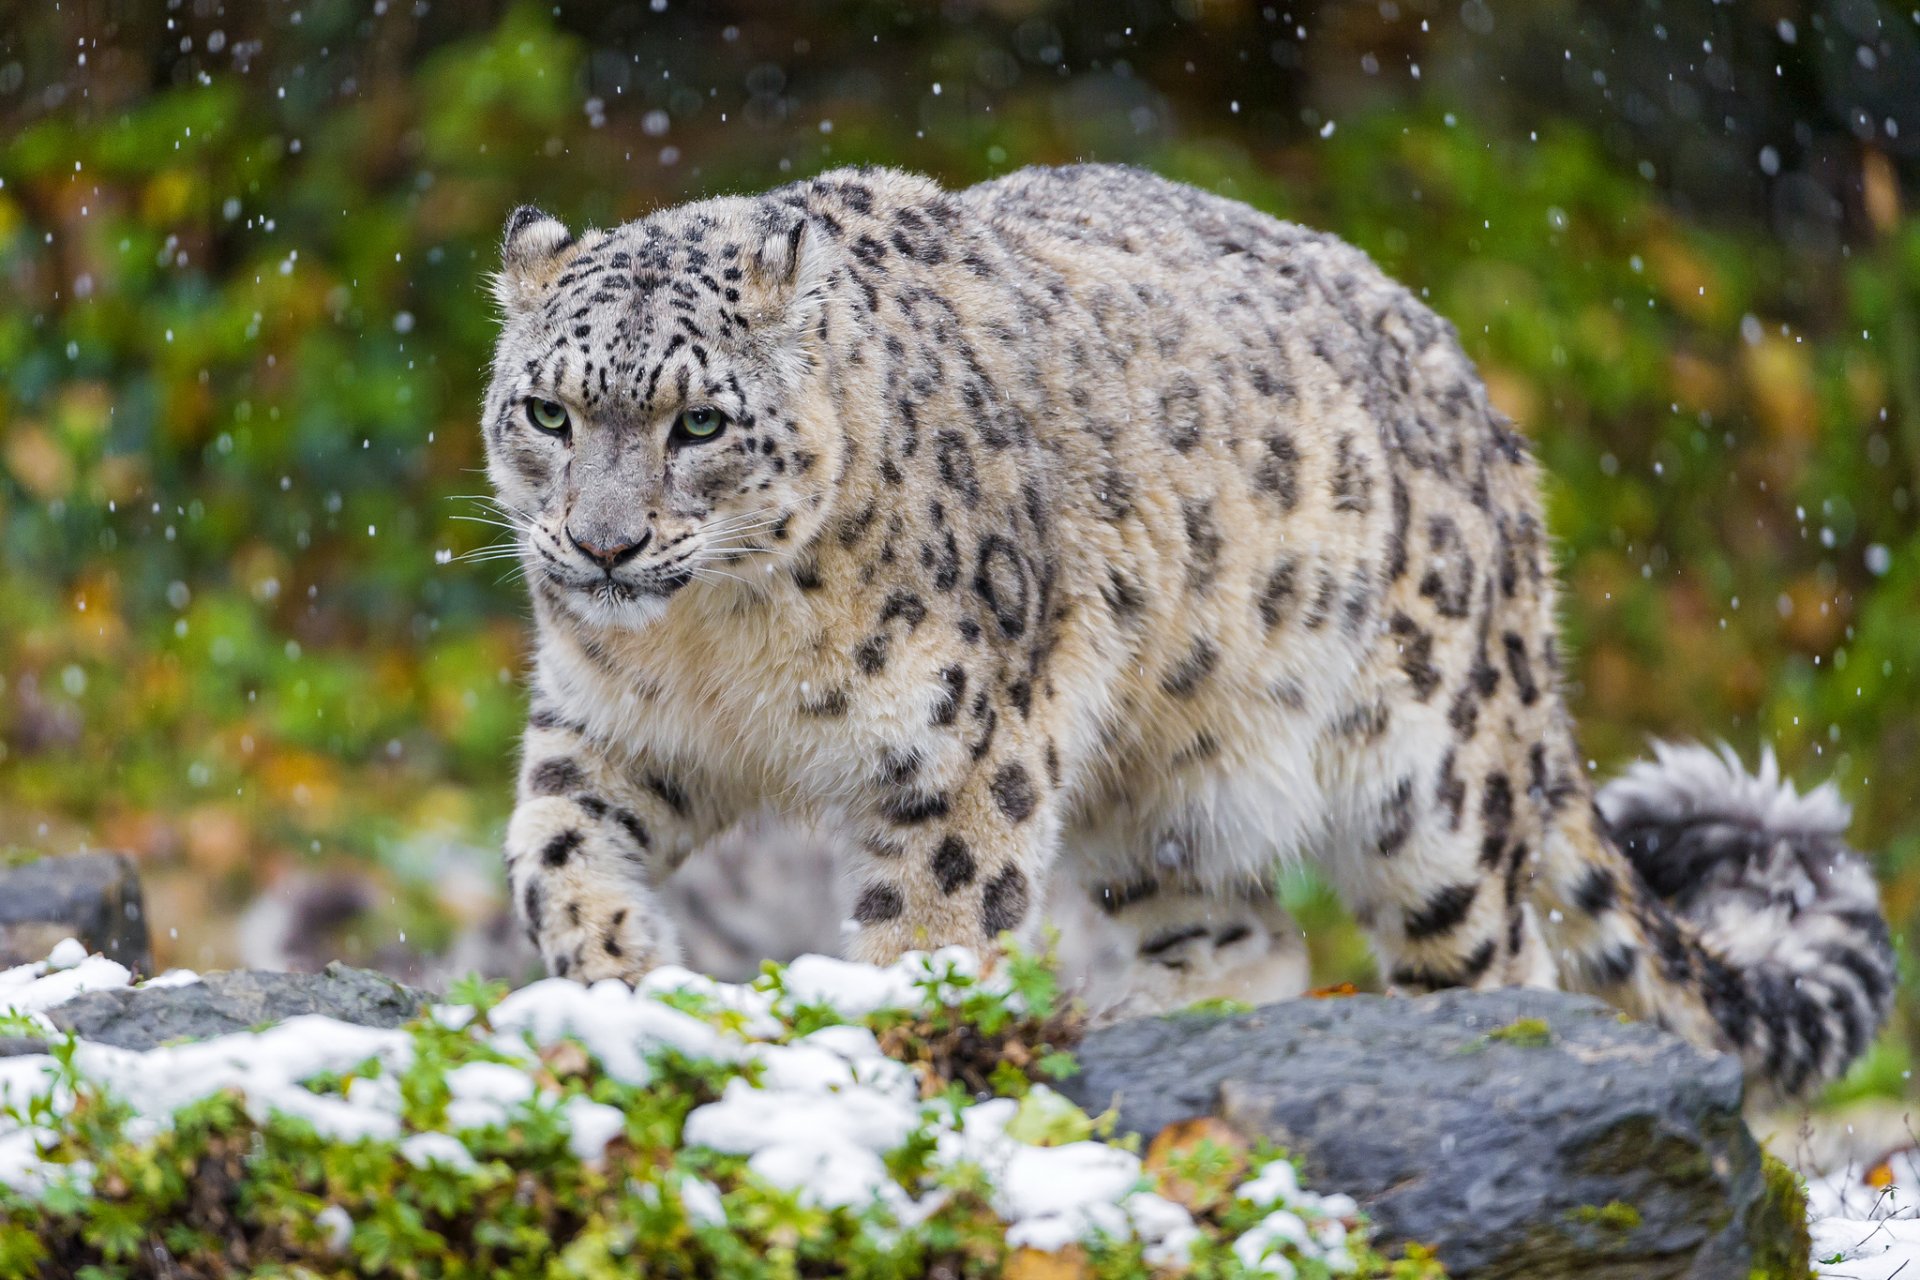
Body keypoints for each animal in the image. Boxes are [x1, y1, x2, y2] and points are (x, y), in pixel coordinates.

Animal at [480, 163, 1889, 1105]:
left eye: (700, 422)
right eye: (547, 411)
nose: (602, 545)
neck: (719, 646)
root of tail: (1493, 430)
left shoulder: (959, 754)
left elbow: (928, 929)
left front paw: (884, 1048)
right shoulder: (607, 728)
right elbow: (550, 849)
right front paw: (621, 968)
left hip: (1432, 786)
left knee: (1505, 948)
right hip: (1161, 784)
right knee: (1252, 934)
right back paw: (1136, 1014)